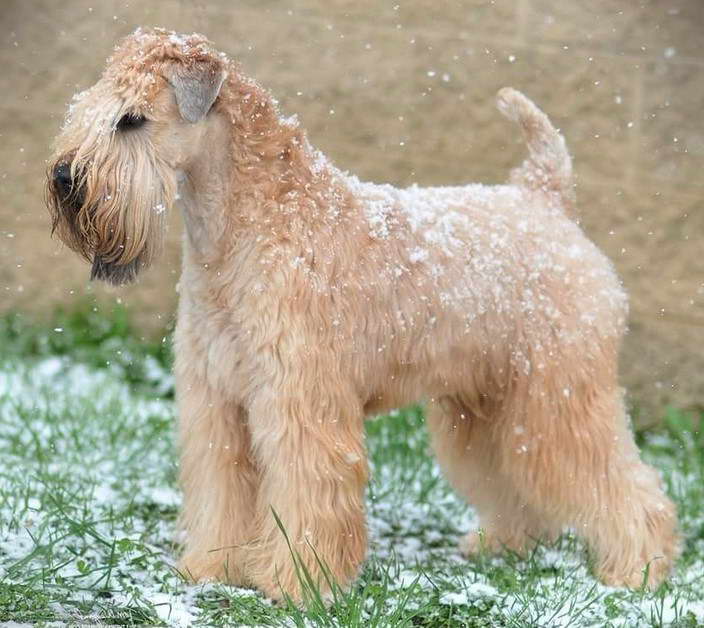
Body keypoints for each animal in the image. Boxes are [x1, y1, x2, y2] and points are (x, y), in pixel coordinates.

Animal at [46, 27, 680, 600]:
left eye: (132, 119)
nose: (64, 176)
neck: (247, 228)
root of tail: (546, 202)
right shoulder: (217, 402)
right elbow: (221, 493)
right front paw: (213, 567)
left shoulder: (299, 402)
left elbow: (306, 495)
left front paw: (297, 584)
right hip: (486, 406)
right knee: (512, 478)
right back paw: (503, 546)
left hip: (558, 395)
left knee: (622, 482)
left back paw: (638, 571)